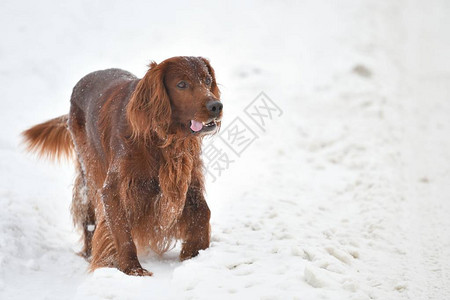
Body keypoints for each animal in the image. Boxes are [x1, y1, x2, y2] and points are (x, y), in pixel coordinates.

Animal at [22, 56, 222, 276]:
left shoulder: (186, 176)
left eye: (207, 80)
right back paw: (89, 253)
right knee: (89, 211)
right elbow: (122, 231)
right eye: (181, 84)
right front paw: (132, 269)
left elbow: (203, 211)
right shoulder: (115, 187)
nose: (216, 106)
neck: (160, 137)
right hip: (90, 169)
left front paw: (196, 253)